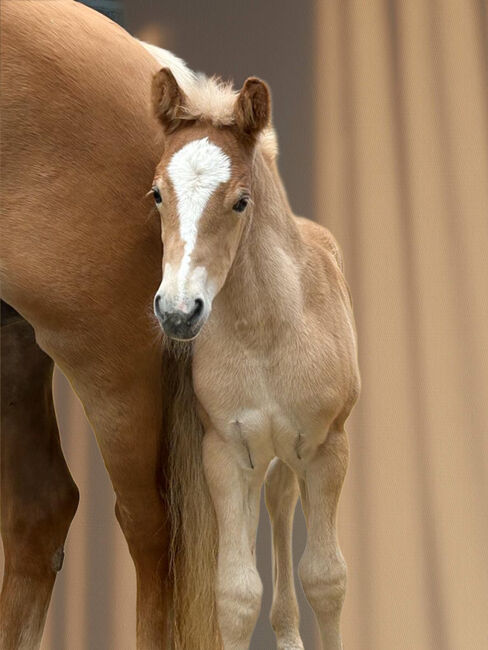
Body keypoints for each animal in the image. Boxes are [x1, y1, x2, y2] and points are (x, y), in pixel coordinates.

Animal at [149, 68, 358, 644]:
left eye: (241, 201)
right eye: (157, 194)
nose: (178, 311)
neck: (265, 334)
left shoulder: (329, 446)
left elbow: (326, 578)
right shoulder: (223, 452)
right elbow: (236, 593)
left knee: (283, 501)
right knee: (276, 503)